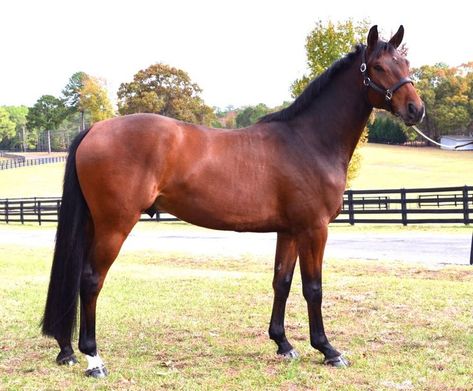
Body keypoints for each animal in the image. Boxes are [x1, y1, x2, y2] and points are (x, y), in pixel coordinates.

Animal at [42, 25, 422, 380]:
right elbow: (313, 288)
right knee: (91, 280)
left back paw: (67, 351)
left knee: (76, 278)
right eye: (378, 66)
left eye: (405, 64)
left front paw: (283, 343)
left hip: (95, 223)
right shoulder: (314, 230)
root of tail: (95, 129)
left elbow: (282, 283)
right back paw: (94, 359)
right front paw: (328, 350)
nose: (415, 109)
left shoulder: (289, 231)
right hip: (114, 226)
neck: (309, 141)